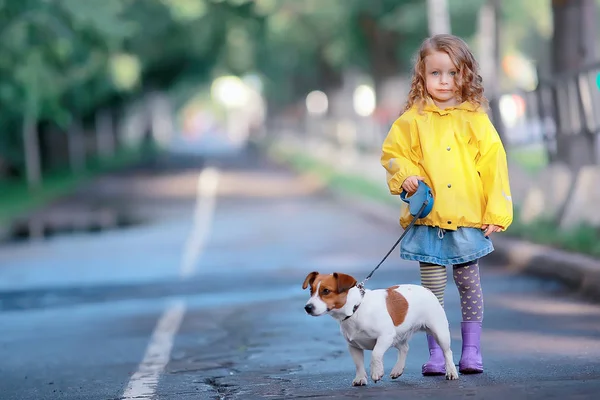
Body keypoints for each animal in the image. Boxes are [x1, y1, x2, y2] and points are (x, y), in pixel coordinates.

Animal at [302, 272, 458, 384]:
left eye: (326, 291)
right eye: (311, 290)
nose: (307, 308)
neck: (355, 309)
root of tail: (427, 289)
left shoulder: (385, 337)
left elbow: (376, 354)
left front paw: (376, 372)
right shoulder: (353, 346)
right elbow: (358, 363)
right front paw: (360, 378)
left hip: (439, 332)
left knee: (447, 352)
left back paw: (451, 371)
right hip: (397, 336)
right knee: (404, 348)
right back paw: (398, 369)